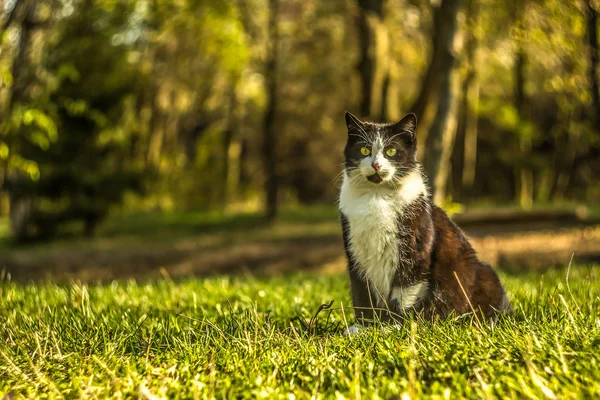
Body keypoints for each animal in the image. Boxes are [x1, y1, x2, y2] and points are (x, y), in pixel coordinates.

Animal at [338, 111, 510, 332]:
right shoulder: (355, 255)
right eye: (364, 149)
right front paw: (363, 328)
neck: (377, 197)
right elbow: (361, 292)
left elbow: (403, 293)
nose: (376, 165)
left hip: (486, 276)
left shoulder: (414, 253)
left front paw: (393, 327)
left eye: (391, 151)